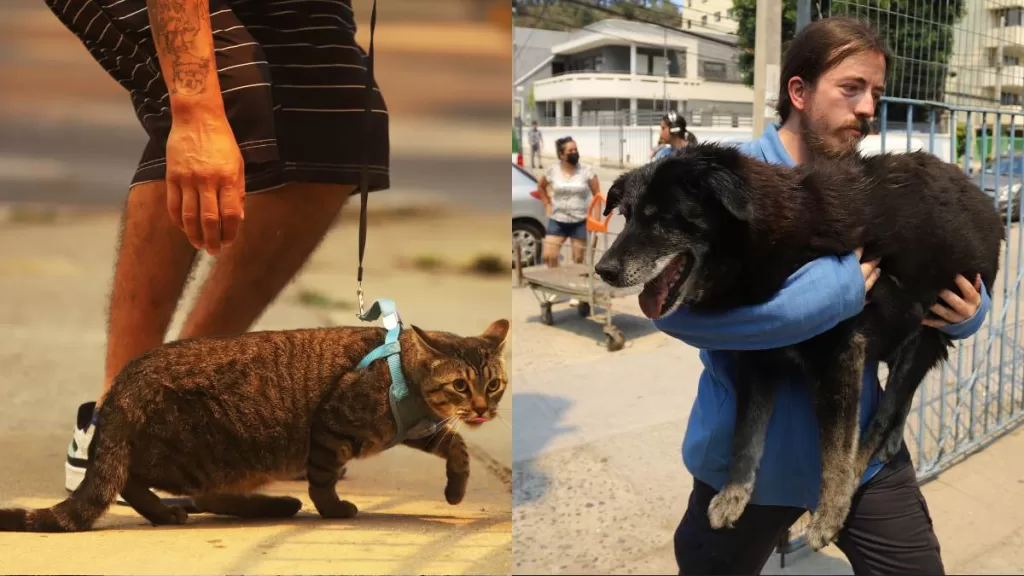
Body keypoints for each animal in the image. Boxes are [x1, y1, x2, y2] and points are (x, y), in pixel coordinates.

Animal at [0, 315, 509, 532]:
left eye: (495, 384)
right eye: (461, 385)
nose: (483, 408)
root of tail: (125, 381)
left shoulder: (417, 430)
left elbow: (458, 449)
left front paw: (456, 490)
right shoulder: (332, 429)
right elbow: (323, 483)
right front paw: (333, 509)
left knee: (197, 494)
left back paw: (271, 505)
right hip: (202, 454)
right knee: (131, 482)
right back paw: (171, 512)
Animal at [598, 142, 1003, 545]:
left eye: (662, 218)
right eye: (627, 216)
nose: (604, 270)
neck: (766, 243)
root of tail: (982, 199)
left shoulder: (838, 357)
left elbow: (836, 450)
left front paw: (831, 512)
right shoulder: (757, 364)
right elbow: (745, 437)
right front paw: (734, 495)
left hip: (926, 336)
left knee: (881, 416)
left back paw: (858, 475)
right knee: (900, 400)